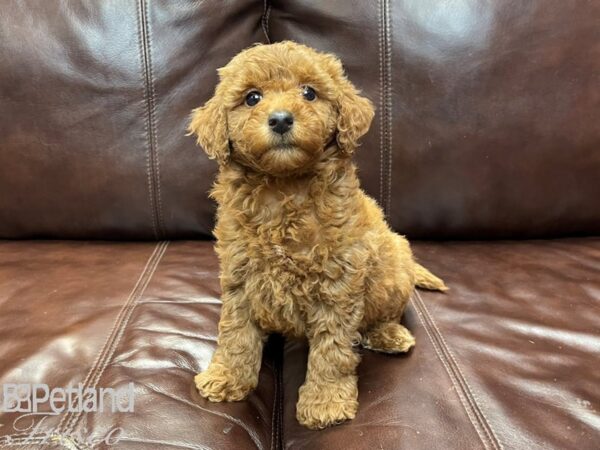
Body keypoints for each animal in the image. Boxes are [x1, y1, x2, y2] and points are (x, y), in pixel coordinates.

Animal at [188, 41, 446, 428]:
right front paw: (227, 376)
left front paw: (325, 402)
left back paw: (388, 334)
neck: (283, 187)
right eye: (252, 97)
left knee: (387, 312)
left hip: (392, 270)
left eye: (309, 92)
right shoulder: (240, 275)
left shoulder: (338, 281)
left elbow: (332, 347)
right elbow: (236, 332)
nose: (280, 119)